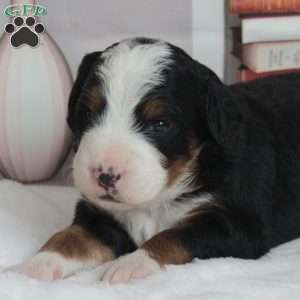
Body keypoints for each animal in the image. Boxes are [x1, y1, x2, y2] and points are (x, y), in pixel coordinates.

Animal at [7, 37, 300, 284]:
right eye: (87, 113)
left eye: (159, 124)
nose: (105, 174)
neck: (156, 200)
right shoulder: (100, 215)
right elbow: (69, 236)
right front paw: (36, 265)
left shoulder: (237, 222)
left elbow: (175, 235)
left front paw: (130, 264)